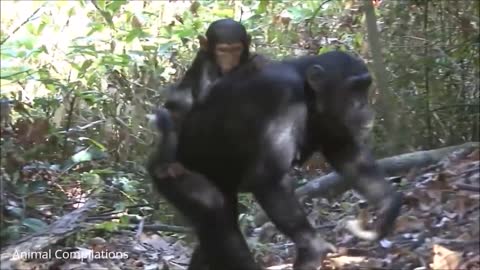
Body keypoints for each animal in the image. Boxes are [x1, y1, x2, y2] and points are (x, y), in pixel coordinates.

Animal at [148, 51, 404, 270]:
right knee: (214, 213)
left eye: (364, 87)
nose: (364, 105)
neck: (308, 92)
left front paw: (388, 208)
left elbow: (348, 156)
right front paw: (313, 248)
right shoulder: (282, 97)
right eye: (353, 89)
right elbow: (267, 178)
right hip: (172, 174)